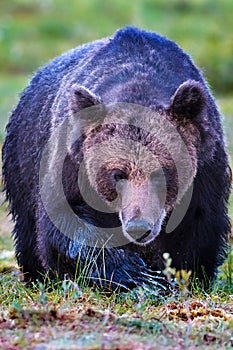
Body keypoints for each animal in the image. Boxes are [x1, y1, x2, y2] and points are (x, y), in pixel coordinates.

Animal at [2, 26, 231, 292]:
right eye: (117, 174)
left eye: (161, 173)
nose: (139, 227)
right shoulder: (71, 165)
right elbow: (65, 224)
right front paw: (136, 274)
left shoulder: (205, 170)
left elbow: (199, 229)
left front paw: (181, 278)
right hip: (23, 159)